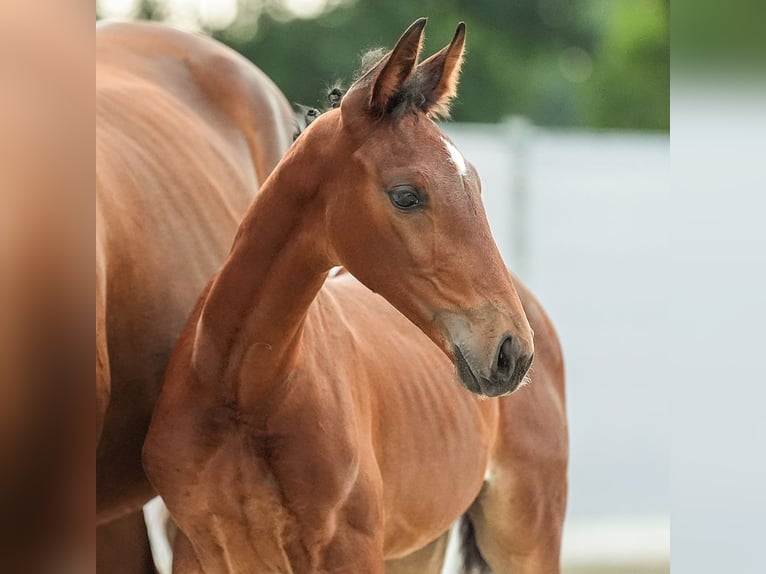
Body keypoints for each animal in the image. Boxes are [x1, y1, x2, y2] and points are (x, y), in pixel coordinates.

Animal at [144, 20, 568, 572]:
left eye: (475, 185)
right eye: (406, 196)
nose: (511, 351)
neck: (242, 387)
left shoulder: (351, 549)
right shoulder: (197, 550)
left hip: (524, 533)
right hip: (420, 545)